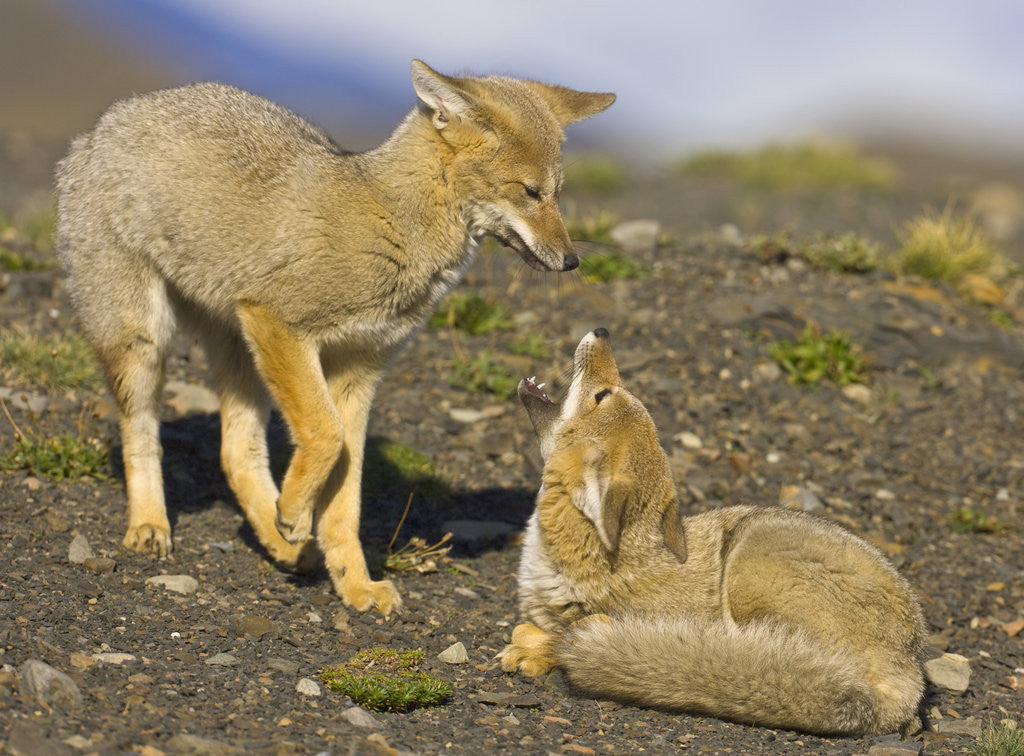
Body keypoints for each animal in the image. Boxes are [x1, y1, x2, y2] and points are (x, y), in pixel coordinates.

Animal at [54, 61, 614, 615]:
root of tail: (100, 127)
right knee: (142, 433)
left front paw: (354, 583)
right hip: (144, 340)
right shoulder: (280, 322)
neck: (396, 224)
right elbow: (325, 435)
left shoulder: (360, 371)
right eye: (531, 192)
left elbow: (346, 493)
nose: (572, 261)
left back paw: (281, 541)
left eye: (558, 193)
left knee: (235, 451)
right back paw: (152, 523)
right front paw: (296, 512)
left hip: (241, 353)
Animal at [498, 328, 926, 737]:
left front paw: (540, 650)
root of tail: (911, 678)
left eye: (602, 395)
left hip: (748, 560)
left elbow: (578, 630)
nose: (602, 331)